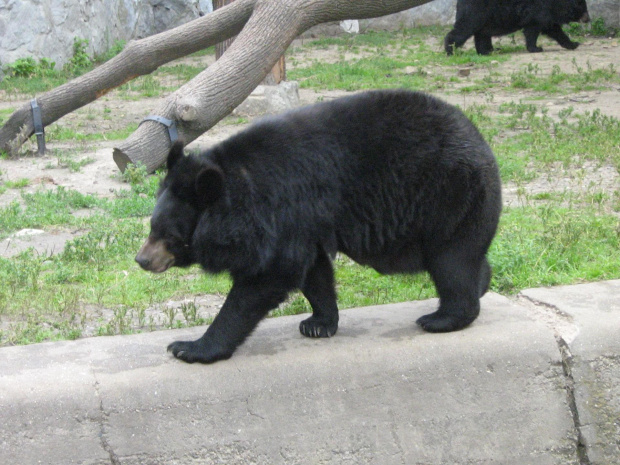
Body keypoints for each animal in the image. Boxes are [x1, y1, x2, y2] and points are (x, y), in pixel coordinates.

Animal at [136, 89, 504, 364]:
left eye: (170, 236)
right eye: (151, 226)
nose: (142, 260)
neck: (241, 188)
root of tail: (482, 142)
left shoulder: (282, 210)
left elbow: (266, 278)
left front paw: (190, 347)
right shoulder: (304, 221)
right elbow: (313, 271)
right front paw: (318, 323)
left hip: (448, 195)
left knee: (452, 260)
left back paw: (443, 318)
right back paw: (480, 284)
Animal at [446, 0, 592, 55]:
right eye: (583, 7)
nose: (588, 19)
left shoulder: (548, 13)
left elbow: (554, 29)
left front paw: (573, 44)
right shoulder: (539, 9)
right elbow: (533, 29)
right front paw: (536, 48)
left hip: (486, 18)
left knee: (482, 35)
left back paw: (488, 51)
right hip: (477, 12)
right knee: (464, 28)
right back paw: (450, 50)